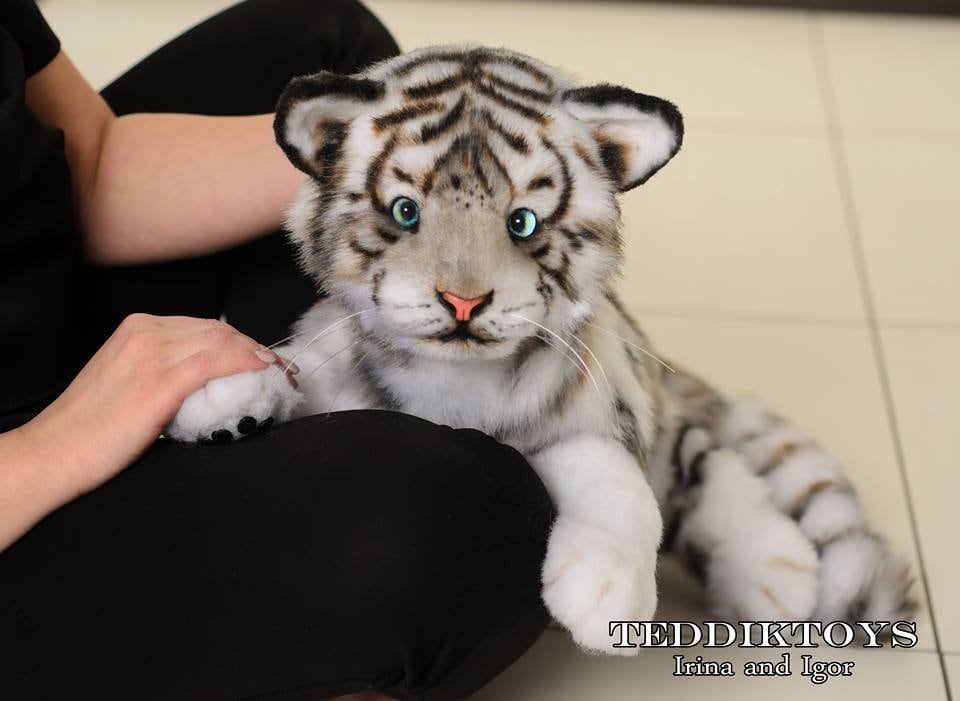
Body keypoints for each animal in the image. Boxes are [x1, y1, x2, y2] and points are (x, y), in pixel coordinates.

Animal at [167, 44, 915, 654]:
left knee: (703, 459)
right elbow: (300, 361)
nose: (463, 303)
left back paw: (777, 575)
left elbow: (618, 484)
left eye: (523, 223)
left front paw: (608, 597)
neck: (454, 382)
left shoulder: (595, 407)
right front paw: (223, 398)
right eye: (406, 211)